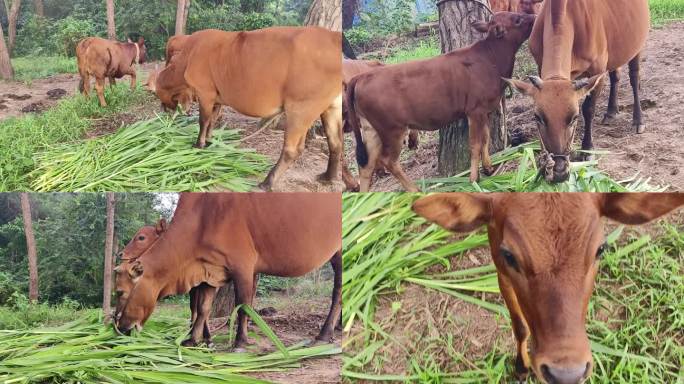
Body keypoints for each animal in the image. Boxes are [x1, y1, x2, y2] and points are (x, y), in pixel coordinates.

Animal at [115, 194, 348, 350]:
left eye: (120, 292)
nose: (118, 327)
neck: (203, 217)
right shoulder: (209, 270)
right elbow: (203, 308)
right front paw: (195, 339)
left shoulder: (243, 266)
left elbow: (243, 305)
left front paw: (239, 342)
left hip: (340, 251)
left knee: (338, 290)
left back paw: (325, 334)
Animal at [166, 27, 342, 190]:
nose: (166, 110)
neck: (189, 54)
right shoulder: (216, 97)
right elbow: (212, 121)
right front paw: (209, 141)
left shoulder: (205, 92)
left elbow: (203, 121)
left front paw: (198, 145)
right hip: (332, 107)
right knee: (335, 143)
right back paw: (328, 177)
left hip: (301, 108)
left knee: (292, 149)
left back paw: (267, 182)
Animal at [348, 12, 536, 192]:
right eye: (517, 19)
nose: (534, 17)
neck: (491, 58)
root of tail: (362, 76)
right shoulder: (475, 111)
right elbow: (475, 144)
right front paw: (474, 178)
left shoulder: (485, 110)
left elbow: (486, 138)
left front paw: (488, 167)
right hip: (392, 130)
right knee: (388, 160)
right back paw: (414, 189)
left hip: (371, 130)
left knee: (366, 165)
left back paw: (365, 198)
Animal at [412, 192, 684, 384]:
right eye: (510, 256)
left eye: (601, 249)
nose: (566, 374)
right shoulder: (501, 271)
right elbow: (520, 327)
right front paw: (521, 367)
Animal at [504, 0, 648, 183]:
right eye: (537, 117)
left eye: (574, 118)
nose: (558, 171)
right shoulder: (540, 65)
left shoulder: (597, 70)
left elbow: (589, 109)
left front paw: (588, 149)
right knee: (615, 75)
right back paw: (611, 112)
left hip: (636, 45)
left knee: (634, 77)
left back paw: (638, 120)